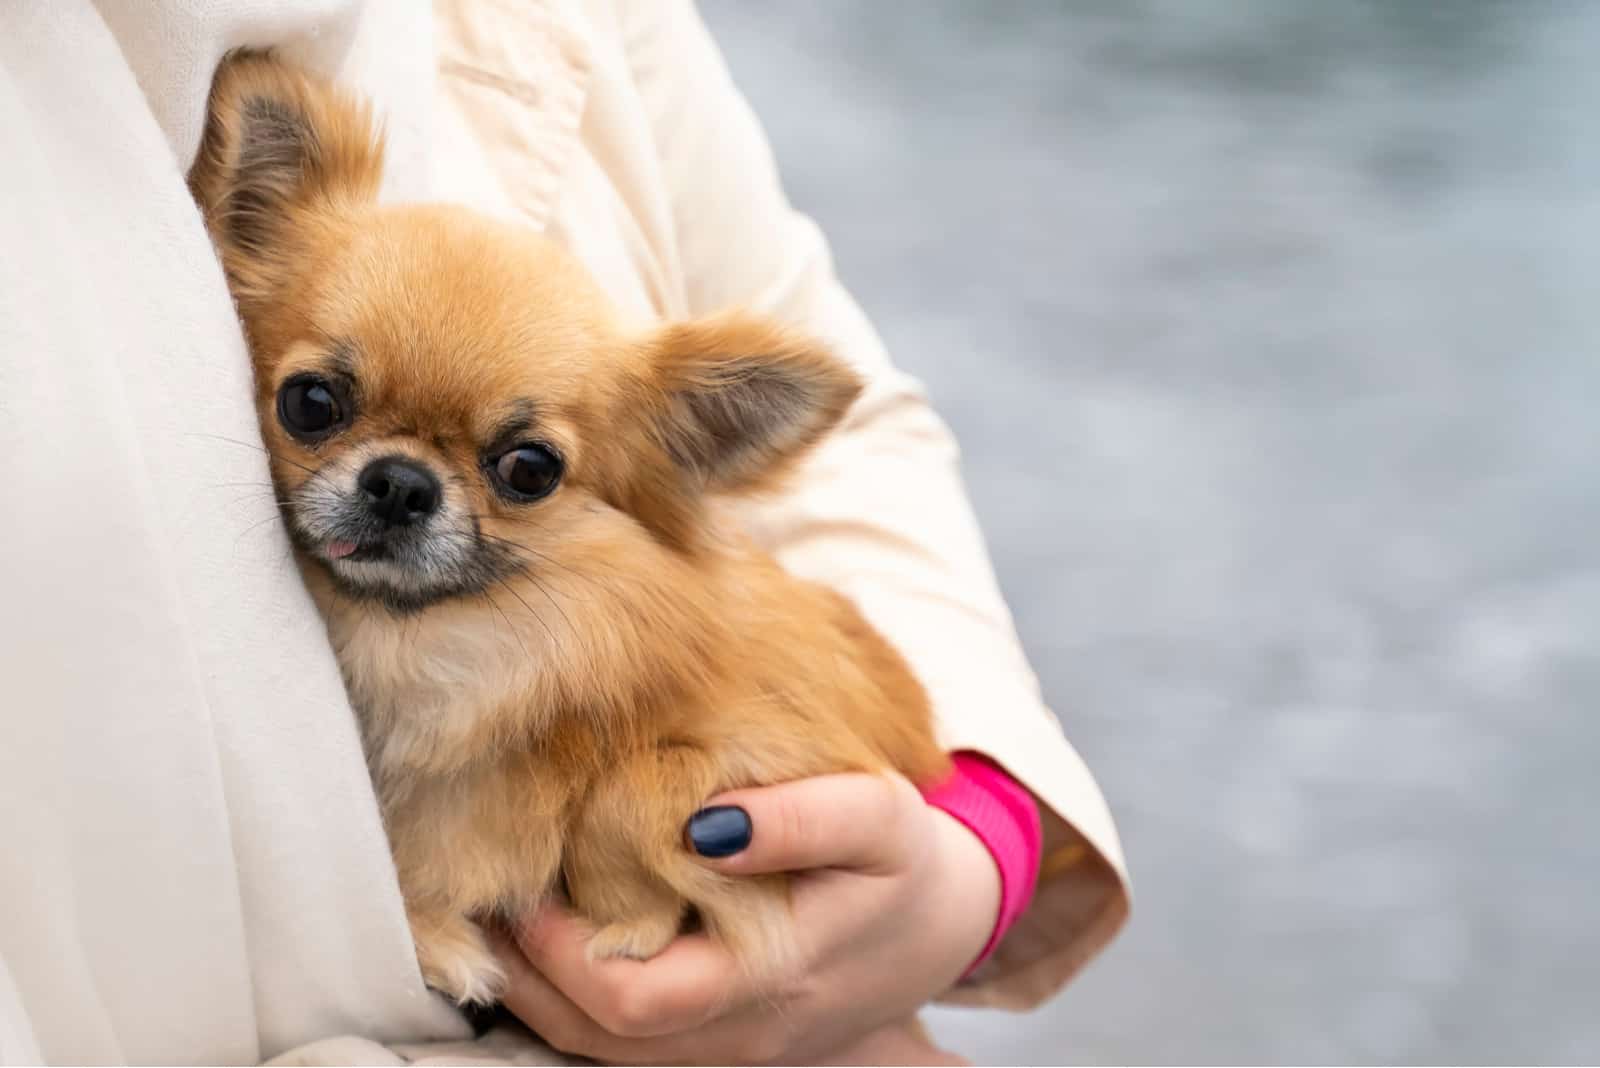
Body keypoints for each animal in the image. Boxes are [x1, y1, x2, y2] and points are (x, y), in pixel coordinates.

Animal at [195, 49, 953, 1004]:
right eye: (311, 402)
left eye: (529, 468)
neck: (450, 660)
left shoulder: (788, 759)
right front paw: (436, 933)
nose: (400, 484)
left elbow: (628, 791)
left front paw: (624, 923)